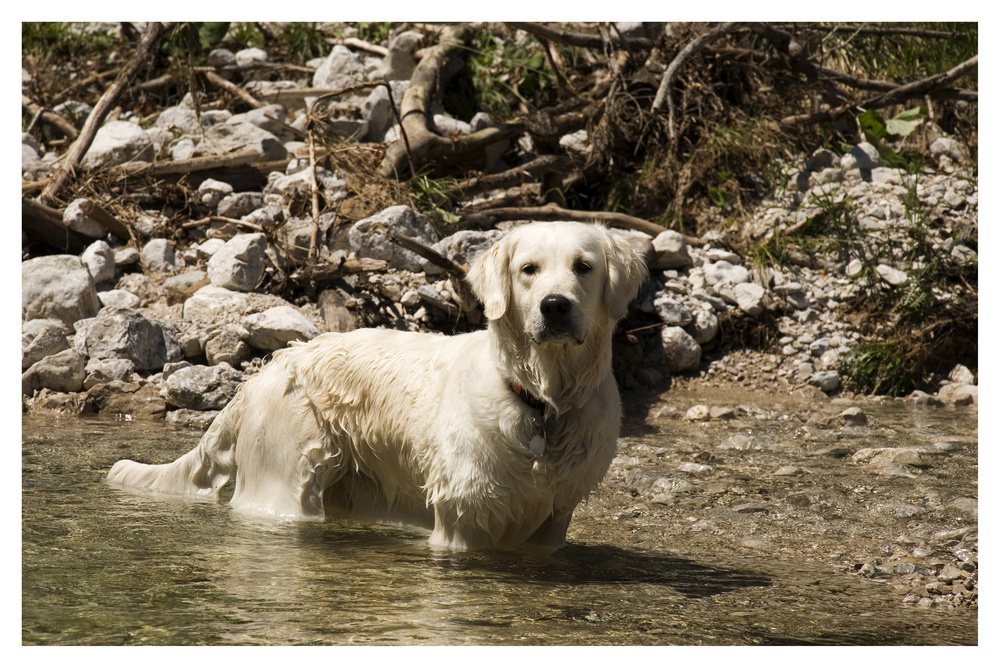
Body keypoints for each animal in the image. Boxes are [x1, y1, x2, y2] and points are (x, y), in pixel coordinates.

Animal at [105, 222, 644, 552]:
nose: (555, 306)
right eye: (528, 269)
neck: (542, 401)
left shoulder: (553, 522)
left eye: (584, 266)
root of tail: (265, 371)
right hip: (286, 481)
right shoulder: (463, 519)